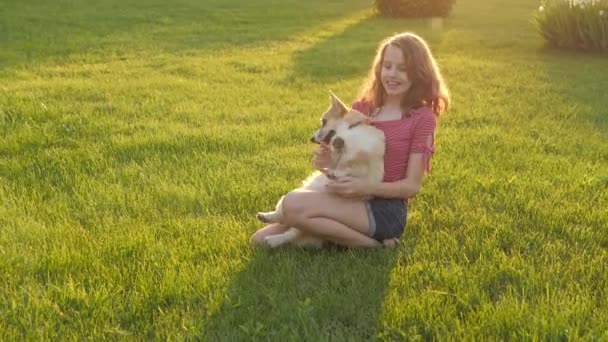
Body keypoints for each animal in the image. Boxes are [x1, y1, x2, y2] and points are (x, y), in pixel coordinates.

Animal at [256, 92, 384, 248]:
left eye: (324, 121)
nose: (311, 139)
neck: (351, 130)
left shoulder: (368, 167)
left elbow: (351, 166)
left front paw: (338, 167)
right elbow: (337, 157)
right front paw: (338, 146)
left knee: (291, 230)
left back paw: (273, 240)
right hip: (293, 195)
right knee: (284, 217)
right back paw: (266, 218)